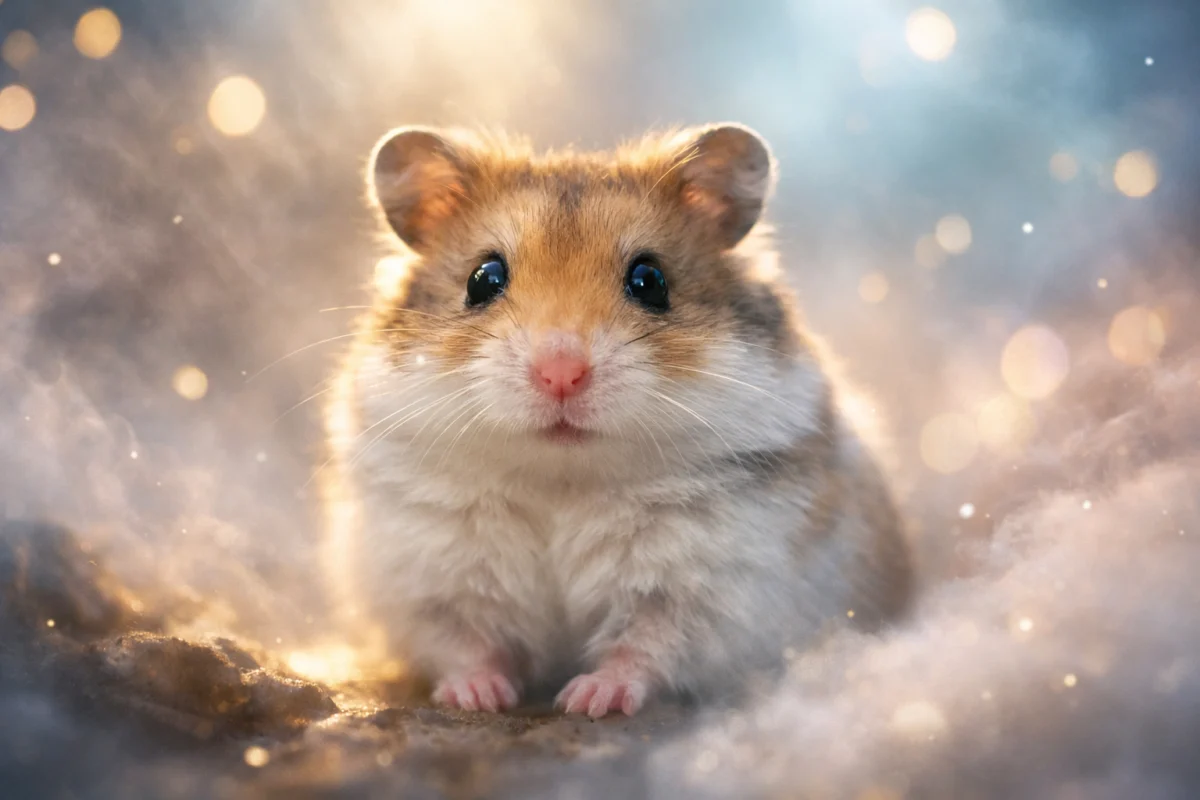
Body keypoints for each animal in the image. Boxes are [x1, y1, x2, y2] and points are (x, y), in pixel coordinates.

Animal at [320, 123, 912, 718]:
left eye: (650, 280)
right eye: (482, 279)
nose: (561, 373)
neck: (560, 479)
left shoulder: (708, 584)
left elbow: (646, 645)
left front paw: (588, 699)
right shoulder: (425, 575)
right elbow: (464, 643)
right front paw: (480, 698)